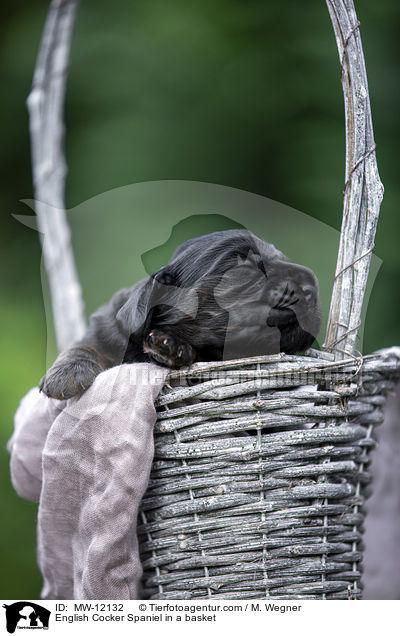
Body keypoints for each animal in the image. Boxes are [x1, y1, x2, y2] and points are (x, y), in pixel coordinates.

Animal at [39, 229, 322, 400]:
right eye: (244, 268)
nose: (311, 288)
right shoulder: (106, 328)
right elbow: (85, 346)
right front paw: (66, 374)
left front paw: (169, 346)